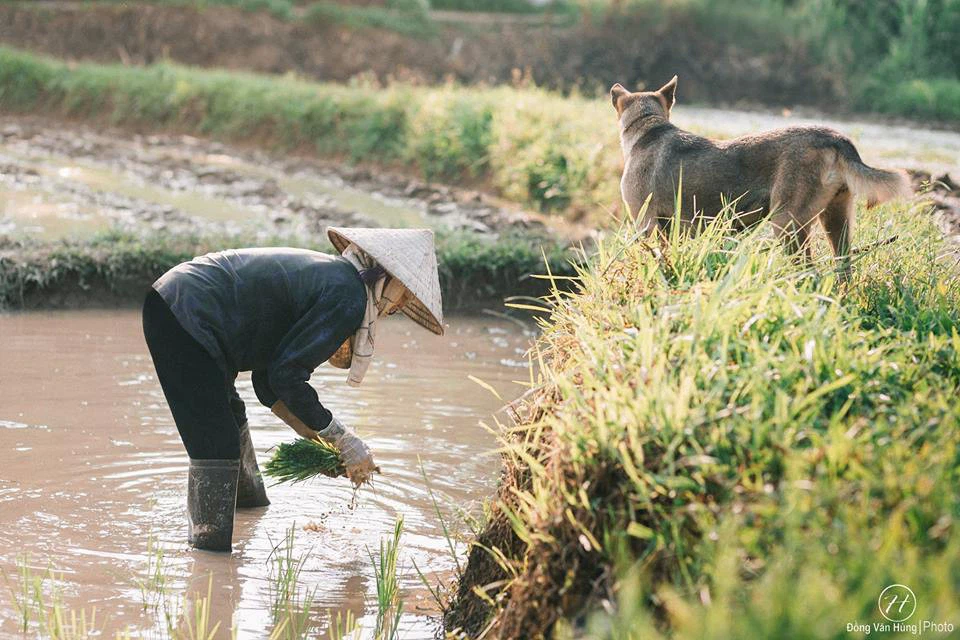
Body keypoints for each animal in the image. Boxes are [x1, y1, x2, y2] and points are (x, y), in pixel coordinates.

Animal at [612, 76, 912, 276]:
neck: (649, 127)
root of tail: (836, 139)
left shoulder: (645, 224)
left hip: (786, 223)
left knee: (809, 271)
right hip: (836, 221)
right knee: (843, 269)